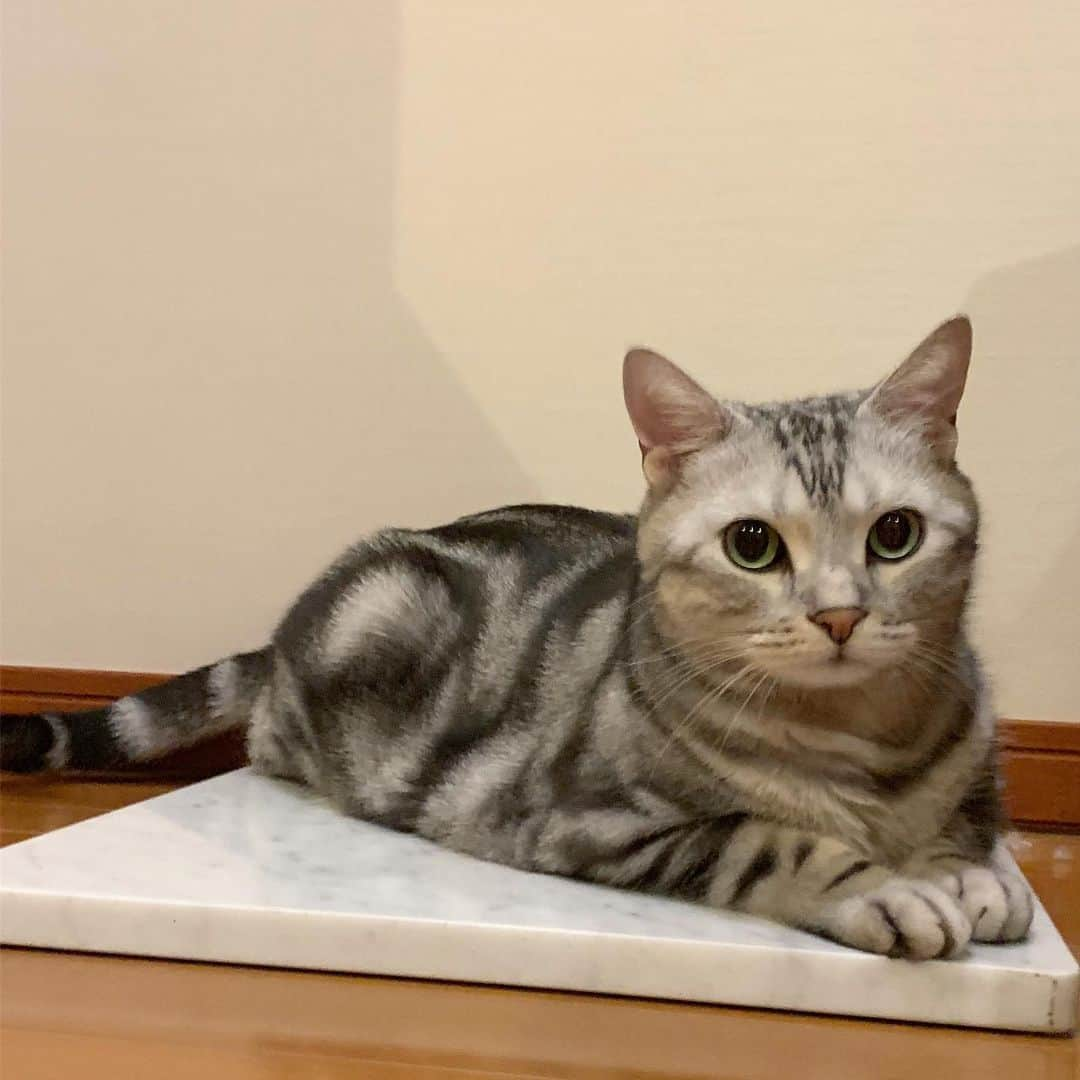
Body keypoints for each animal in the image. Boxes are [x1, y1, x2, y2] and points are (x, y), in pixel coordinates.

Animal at [0, 315, 1032, 959]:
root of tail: (285, 633)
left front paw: (971, 875)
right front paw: (888, 888)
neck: (867, 745)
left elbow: (970, 821)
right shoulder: (596, 819)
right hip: (383, 619)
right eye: (753, 546)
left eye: (894, 534)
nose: (840, 614)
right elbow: (773, 840)